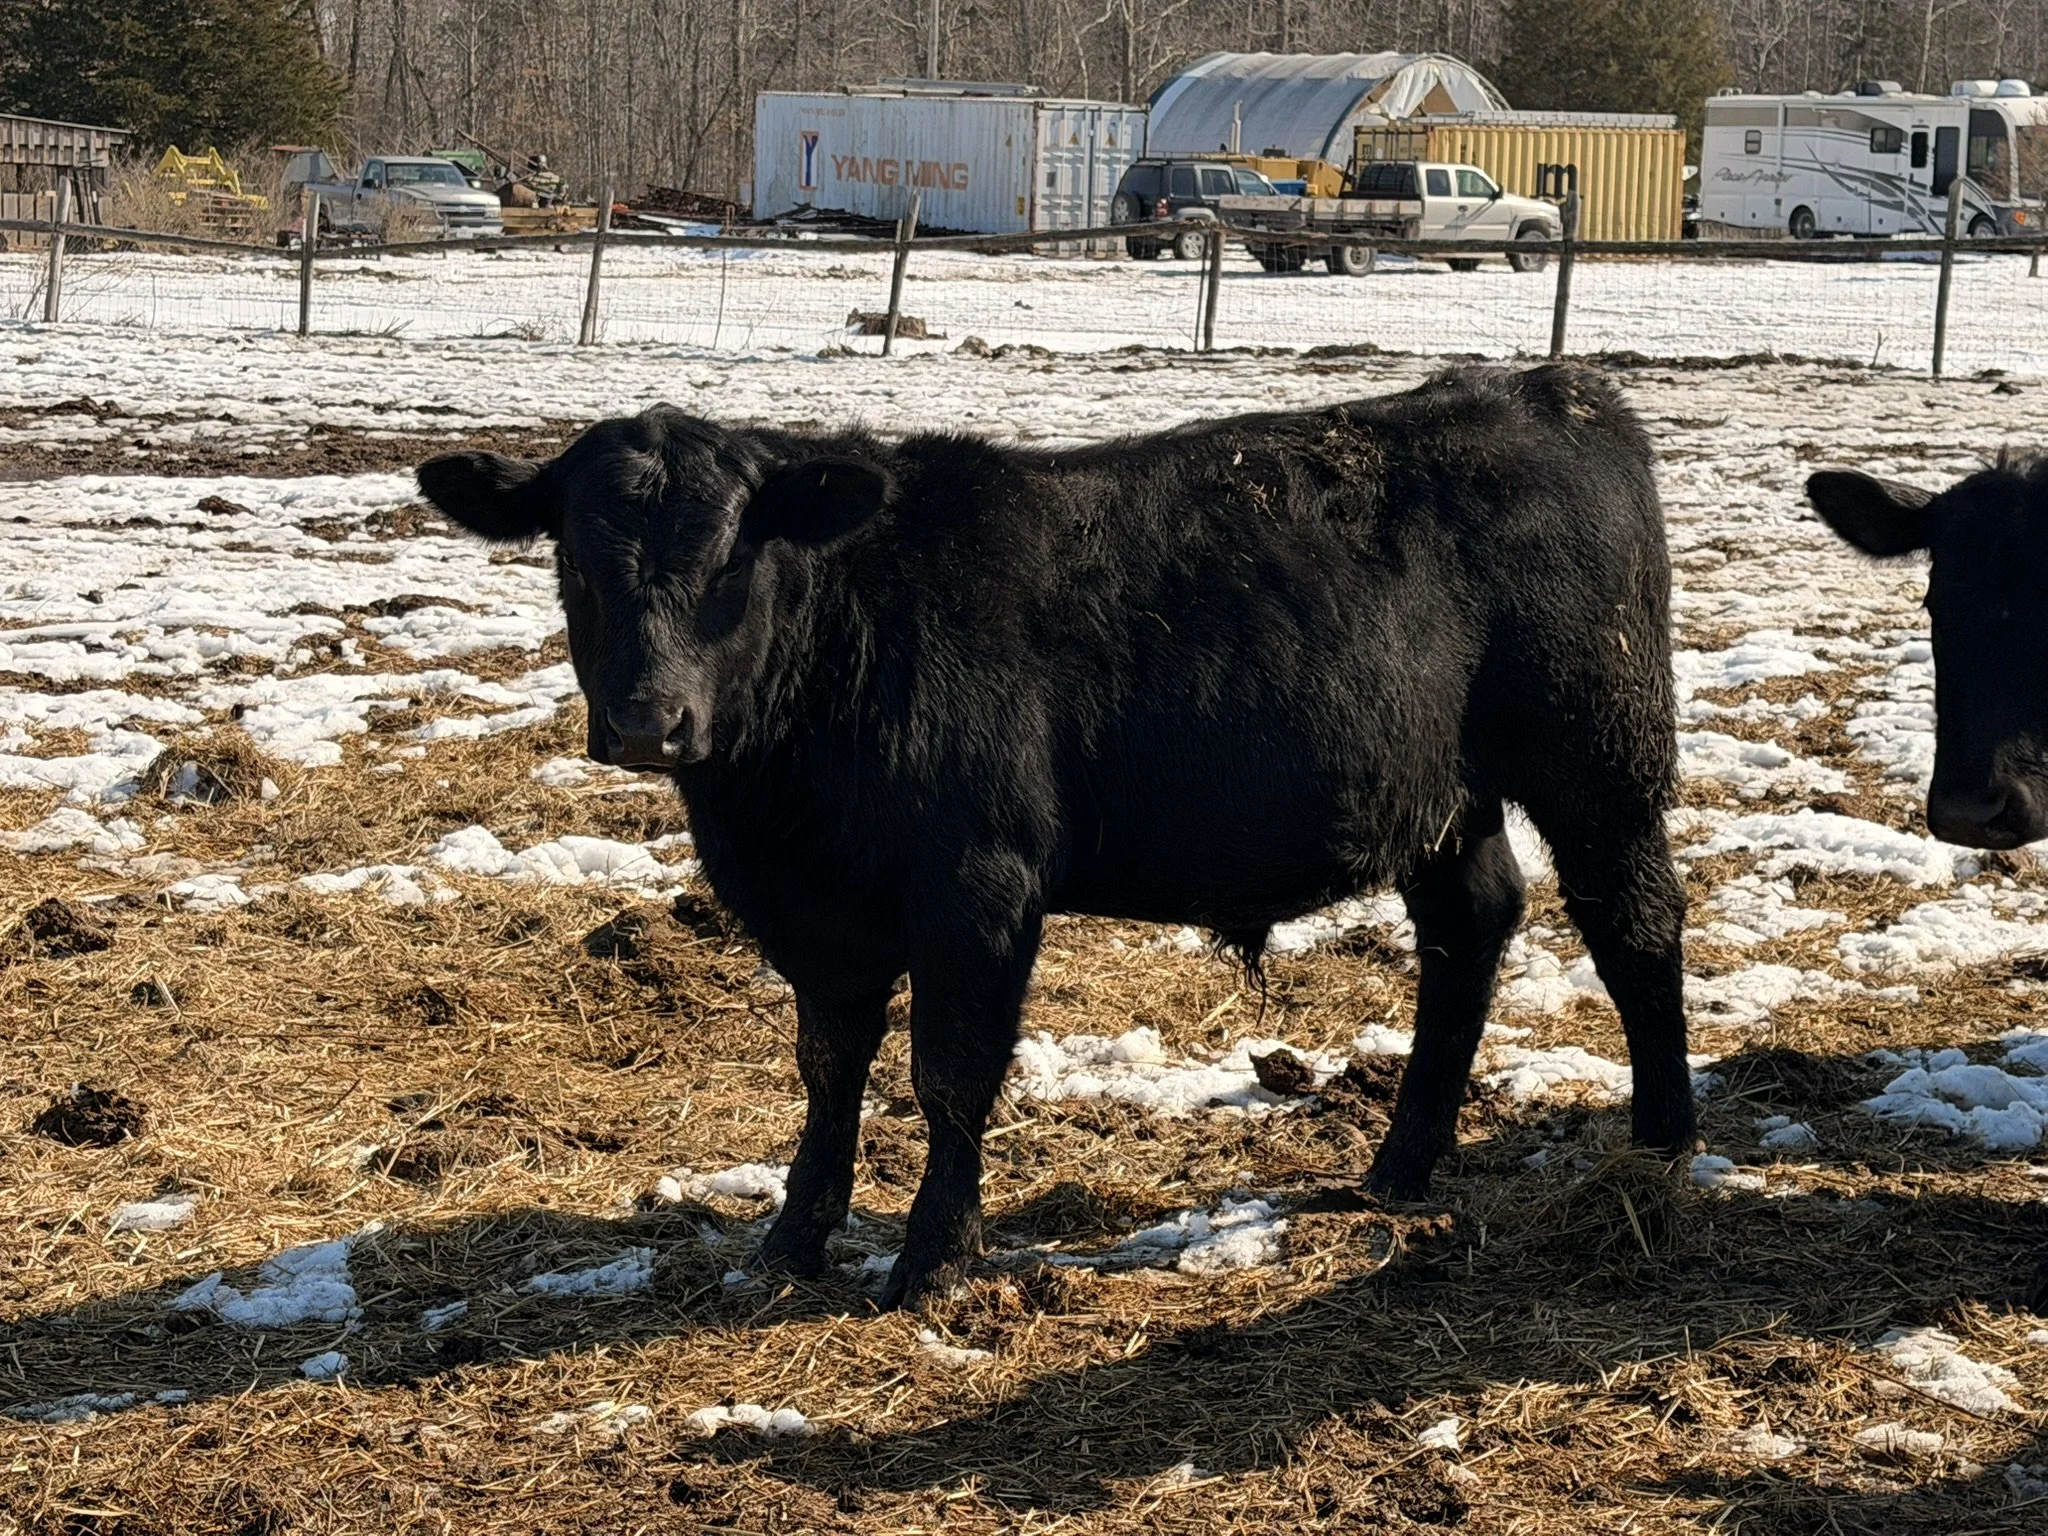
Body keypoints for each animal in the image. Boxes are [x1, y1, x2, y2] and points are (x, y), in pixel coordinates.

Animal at [417, 363, 1697, 1309]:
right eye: (577, 557)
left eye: (737, 552)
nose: (649, 720)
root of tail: (1543, 389)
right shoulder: (815, 914)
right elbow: (829, 1069)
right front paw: (790, 1240)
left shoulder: (977, 886)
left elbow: (947, 1074)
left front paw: (933, 1260)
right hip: (1437, 793)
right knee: (1467, 929)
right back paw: (1397, 1166)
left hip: (1598, 754)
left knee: (1634, 926)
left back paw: (1659, 1144)